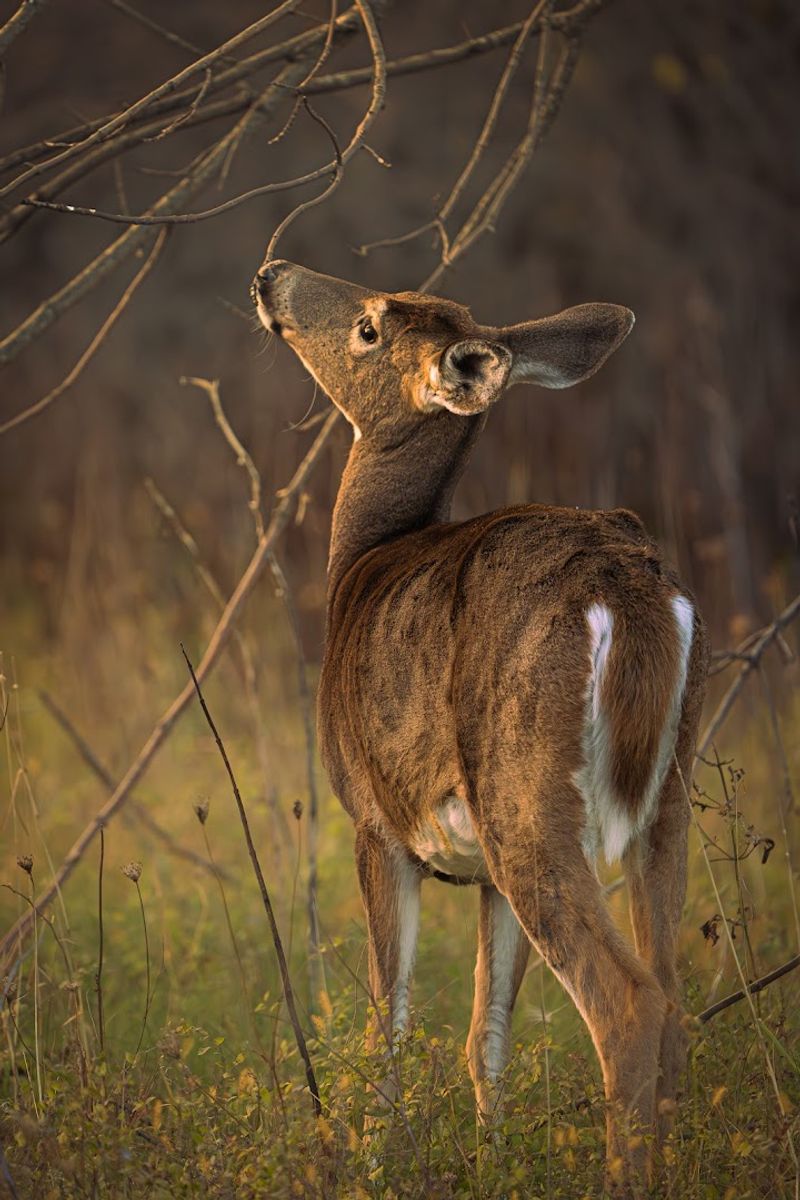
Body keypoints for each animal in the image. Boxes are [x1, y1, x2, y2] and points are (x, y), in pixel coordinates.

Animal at [252, 258, 708, 1186]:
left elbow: (389, 1029)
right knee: (675, 991)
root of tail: (629, 586)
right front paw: (492, 1163)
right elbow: (484, 1036)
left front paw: (376, 1167)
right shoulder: (485, 876)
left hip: (525, 792)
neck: (356, 570)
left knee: (630, 1001)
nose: (272, 273)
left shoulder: (376, 822)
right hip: (666, 800)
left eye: (369, 328)